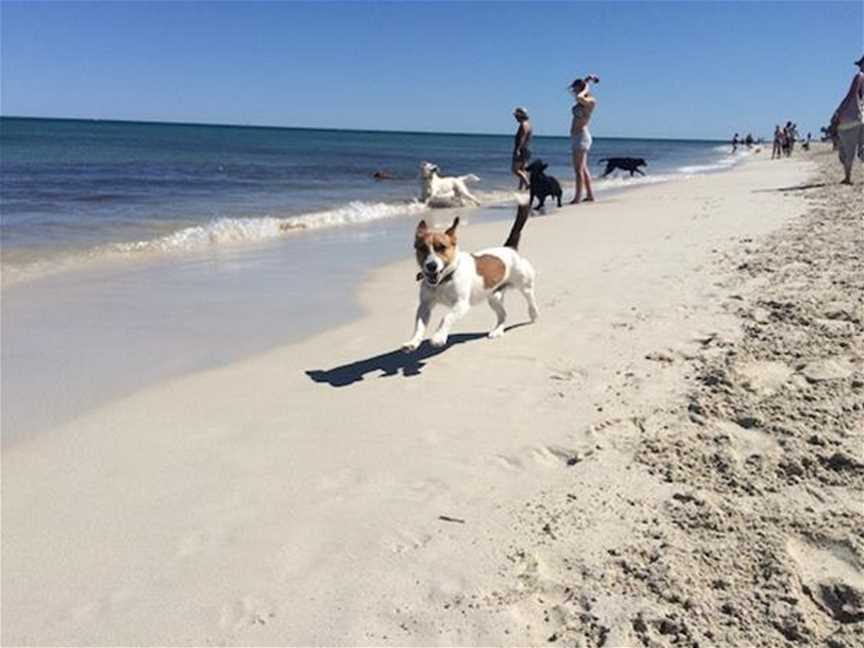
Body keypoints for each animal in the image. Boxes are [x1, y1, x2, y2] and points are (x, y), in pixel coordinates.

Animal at [402, 199, 536, 352]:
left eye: (442, 247)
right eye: (422, 249)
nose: (431, 266)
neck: (445, 280)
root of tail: (508, 248)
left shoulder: (461, 304)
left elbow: (446, 317)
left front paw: (438, 337)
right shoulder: (425, 305)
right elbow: (419, 325)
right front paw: (413, 342)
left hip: (523, 283)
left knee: (530, 297)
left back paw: (533, 314)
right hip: (493, 298)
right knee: (503, 314)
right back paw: (497, 331)